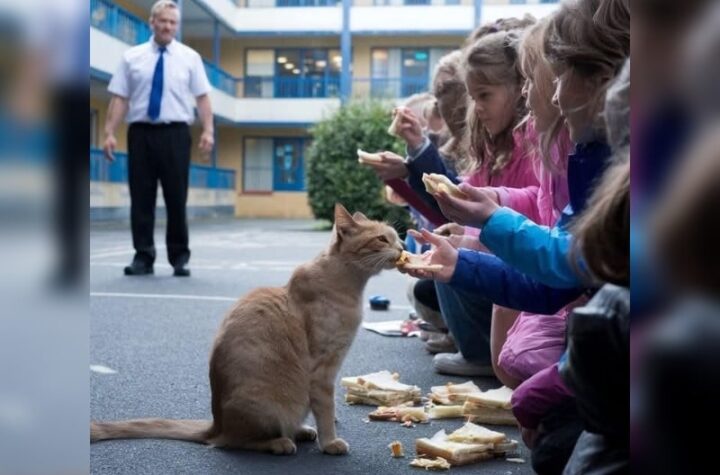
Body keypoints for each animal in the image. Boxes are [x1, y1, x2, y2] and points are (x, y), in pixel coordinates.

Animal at [90, 205, 404, 458]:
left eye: (397, 238)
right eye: (382, 239)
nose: (402, 248)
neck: (349, 285)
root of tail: (215, 423)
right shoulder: (322, 372)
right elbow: (327, 411)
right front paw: (330, 443)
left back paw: (300, 430)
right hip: (267, 409)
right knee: (230, 442)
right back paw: (279, 442)